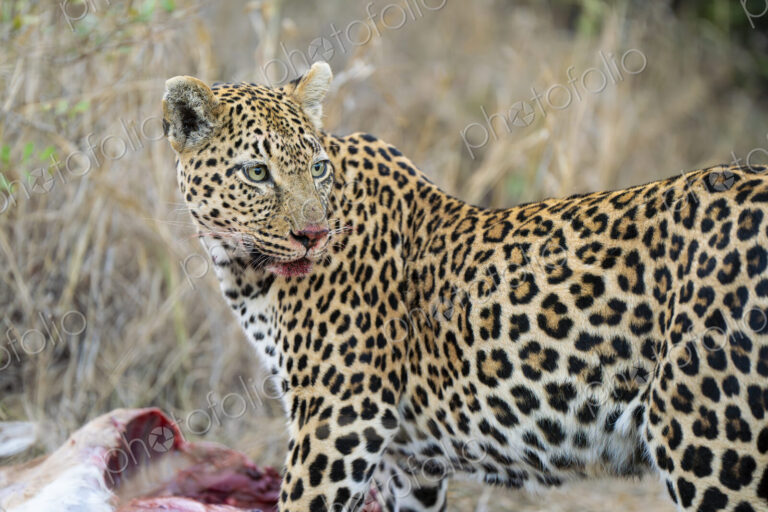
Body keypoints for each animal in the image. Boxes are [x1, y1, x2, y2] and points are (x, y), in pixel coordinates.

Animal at [162, 61, 768, 512]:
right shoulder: (408, 461)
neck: (243, 268)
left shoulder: (341, 416)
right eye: (256, 173)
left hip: (713, 441)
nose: (313, 236)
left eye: (316, 168)